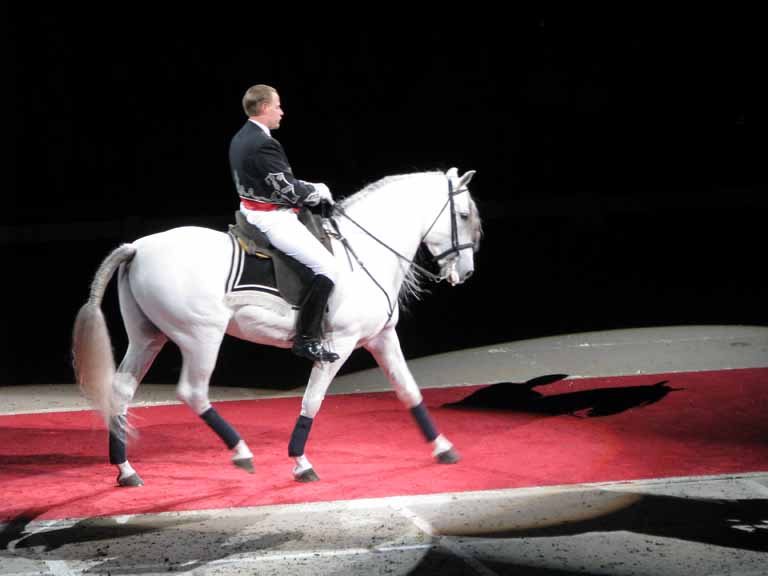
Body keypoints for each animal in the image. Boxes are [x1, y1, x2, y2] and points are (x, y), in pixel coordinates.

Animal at [72, 168, 480, 486]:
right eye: (462, 215)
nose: (465, 274)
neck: (364, 252)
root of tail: (137, 247)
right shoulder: (340, 344)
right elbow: (312, 400)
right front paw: (301, 463)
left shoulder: (381, 338)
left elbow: (409, 390)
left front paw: (443, 448)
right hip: (200, 336)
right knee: (193, 392)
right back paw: (241, 453)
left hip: (148, 337)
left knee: (122, 391)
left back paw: (126, 470)